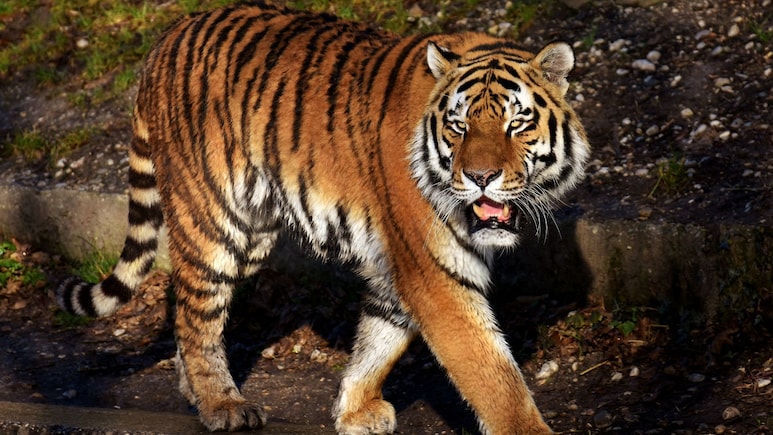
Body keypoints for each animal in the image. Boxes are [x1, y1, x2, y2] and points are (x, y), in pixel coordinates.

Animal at [55, 2, 590, 434]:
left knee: (186, 306)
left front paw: (354, 410)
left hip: (253, 233)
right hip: (212, 222)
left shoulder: (399, 266)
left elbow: (380, 338)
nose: (480, 177)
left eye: (516, 123)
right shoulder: (434, 270)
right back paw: (222, 405)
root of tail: (166, 38)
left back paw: (195, 392)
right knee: (197, 314)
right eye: (458, 126)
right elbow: (492, 374)